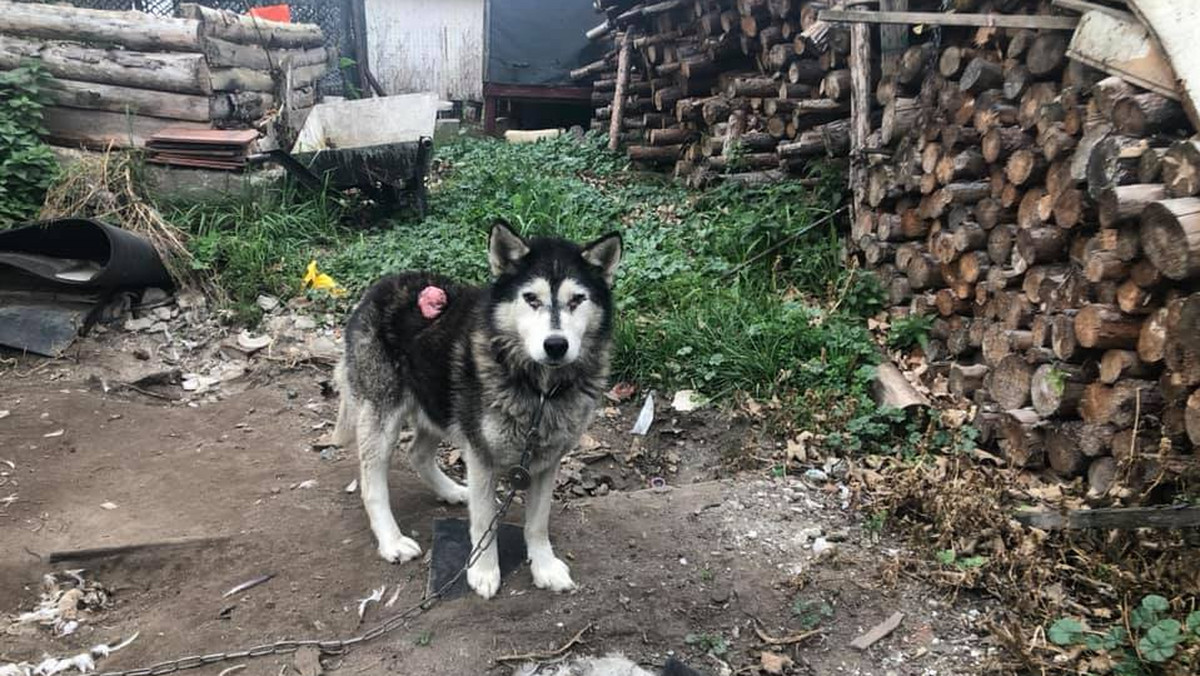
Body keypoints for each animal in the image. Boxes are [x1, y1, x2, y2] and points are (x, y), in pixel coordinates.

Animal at [333, 222, 624, 597]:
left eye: (577, 300)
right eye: (531, 299)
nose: (556, 345)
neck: (539, 391)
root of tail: (381, 285)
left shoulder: (547, 461)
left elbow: (538, 523)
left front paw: (544, 567)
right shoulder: (482, 456)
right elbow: (486, 521)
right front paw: (483, 572)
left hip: (439, 404)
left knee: (417, 453)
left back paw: (453, 491)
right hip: (383, 415)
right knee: (372, 483)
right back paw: (392, 541)